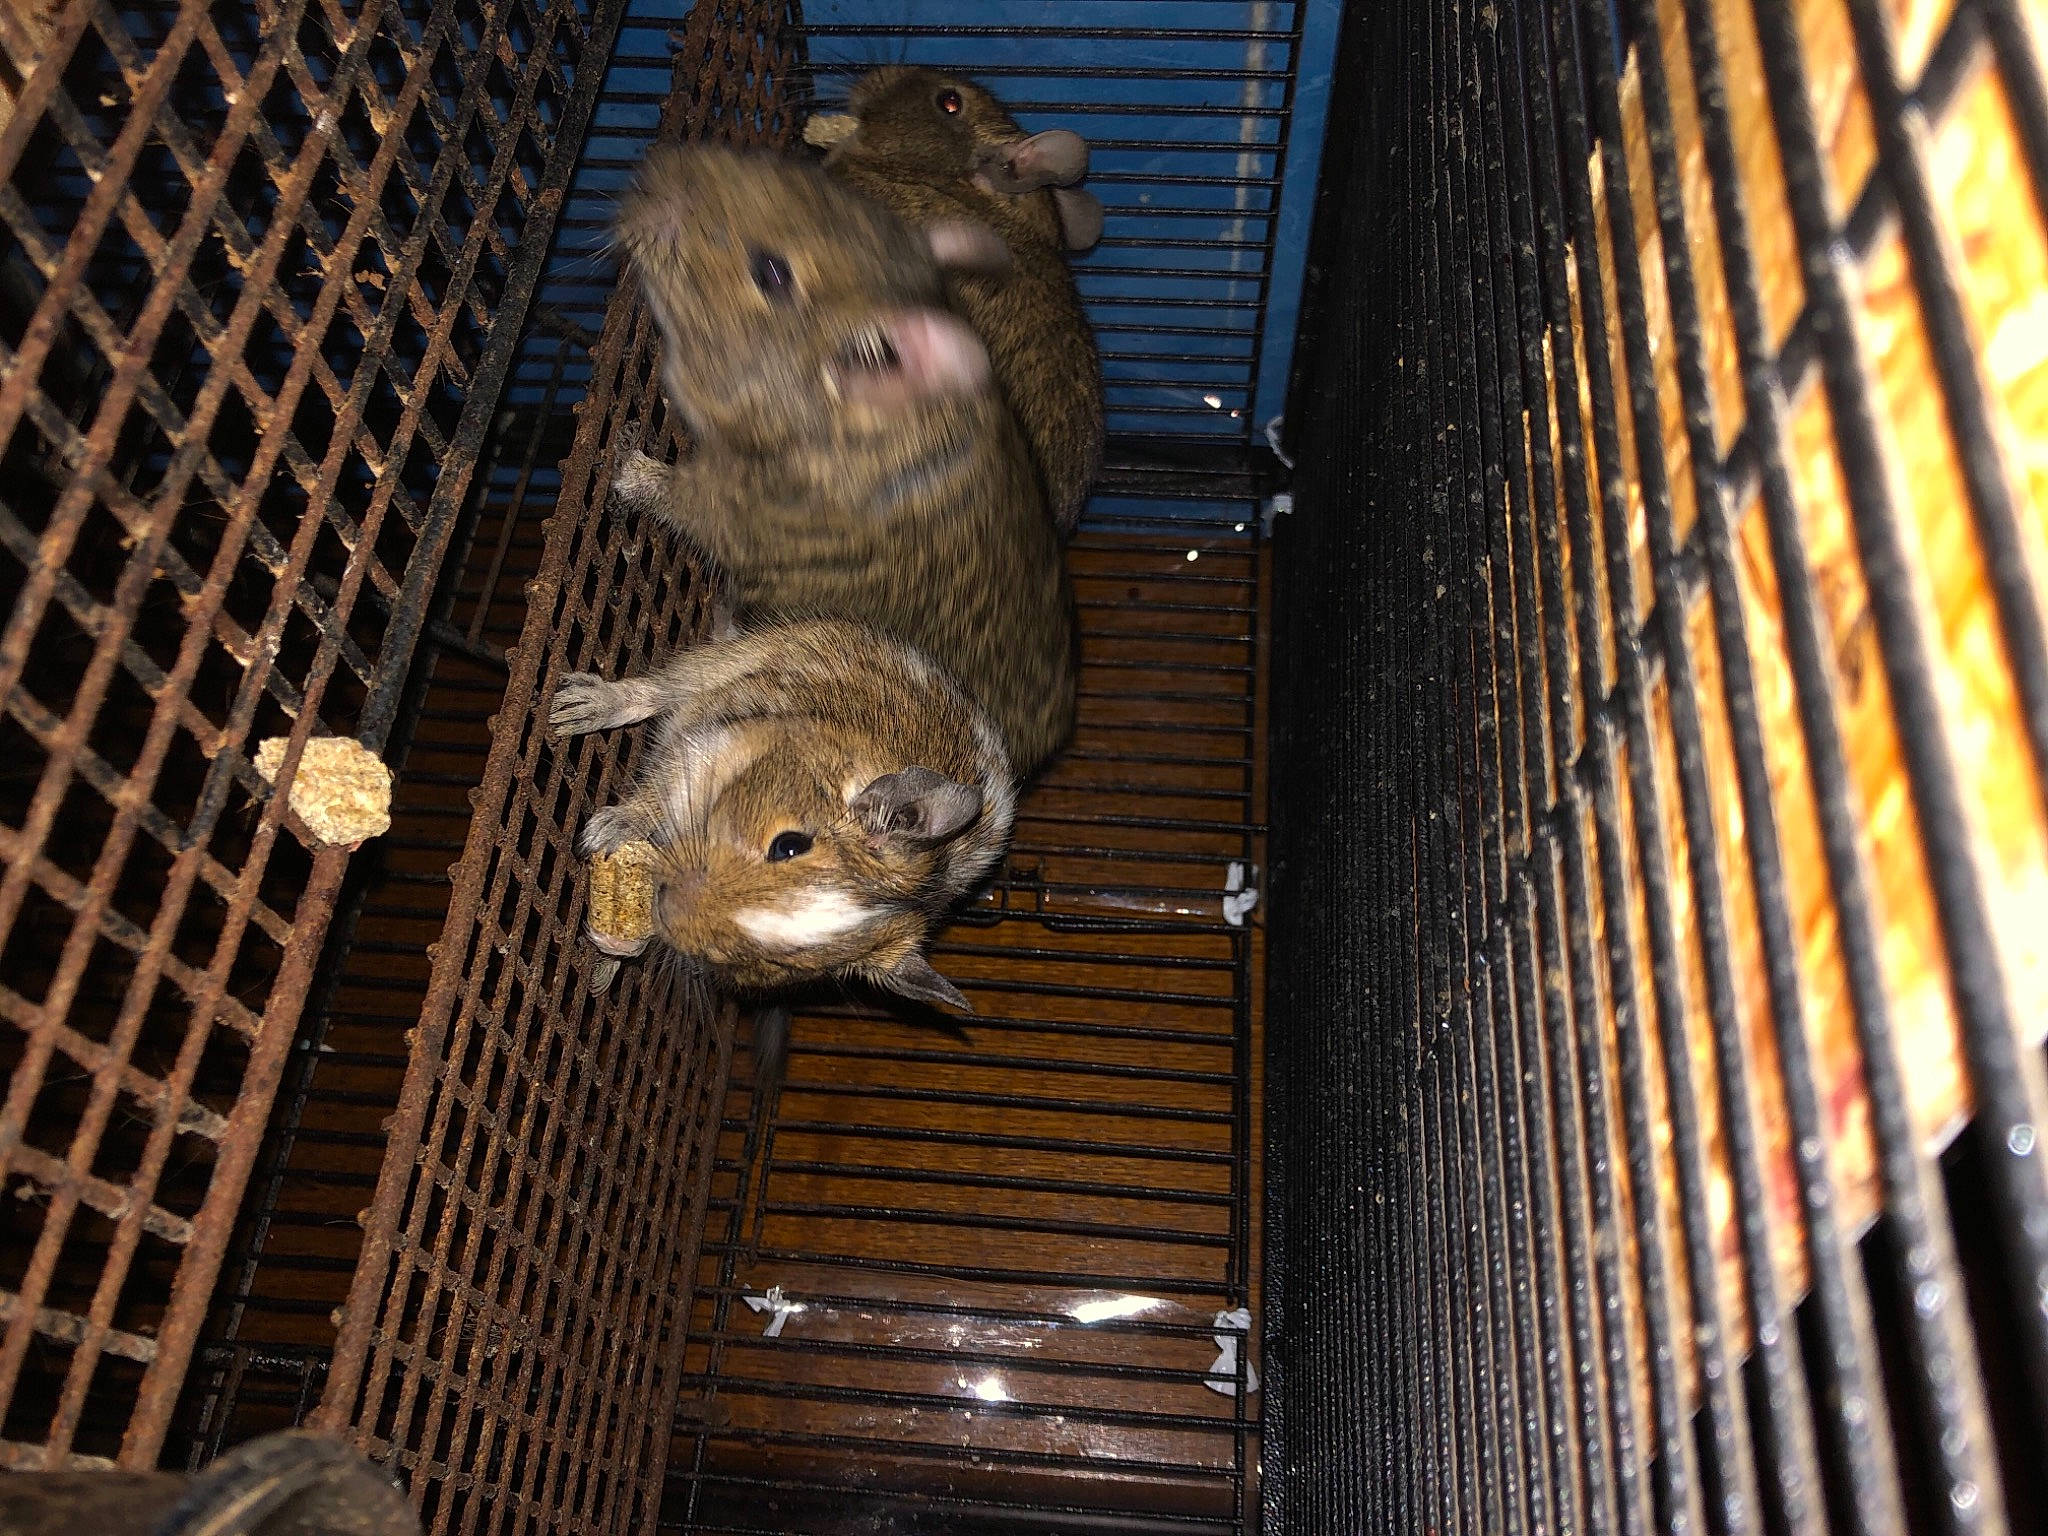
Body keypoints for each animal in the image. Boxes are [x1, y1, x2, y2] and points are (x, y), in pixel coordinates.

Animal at [550, 618, 1014, 1012]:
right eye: (789, 845)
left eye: (786, 963)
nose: (667, 905)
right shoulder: (706, 747)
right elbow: (653, 797)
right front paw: (601, 835)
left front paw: (611, 958)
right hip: (731, 659)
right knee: (655, 689)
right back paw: (571, 708)